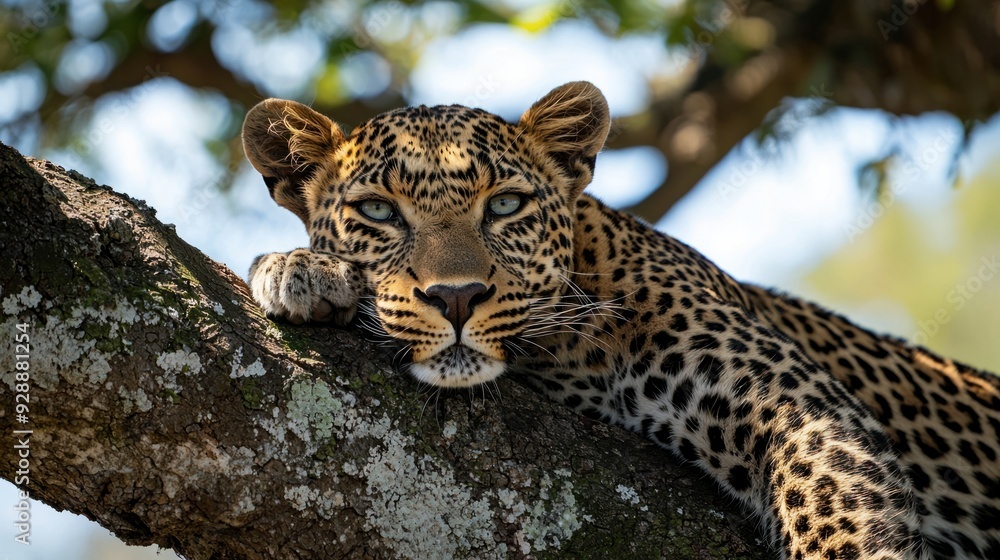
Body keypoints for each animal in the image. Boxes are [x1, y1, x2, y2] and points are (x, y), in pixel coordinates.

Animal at [240, 81, 1000, 560]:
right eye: (377, 211)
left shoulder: (802, 407)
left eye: (506, 205)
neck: (567, 351)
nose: (457, 296)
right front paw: (299, 268)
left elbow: (840, 522)